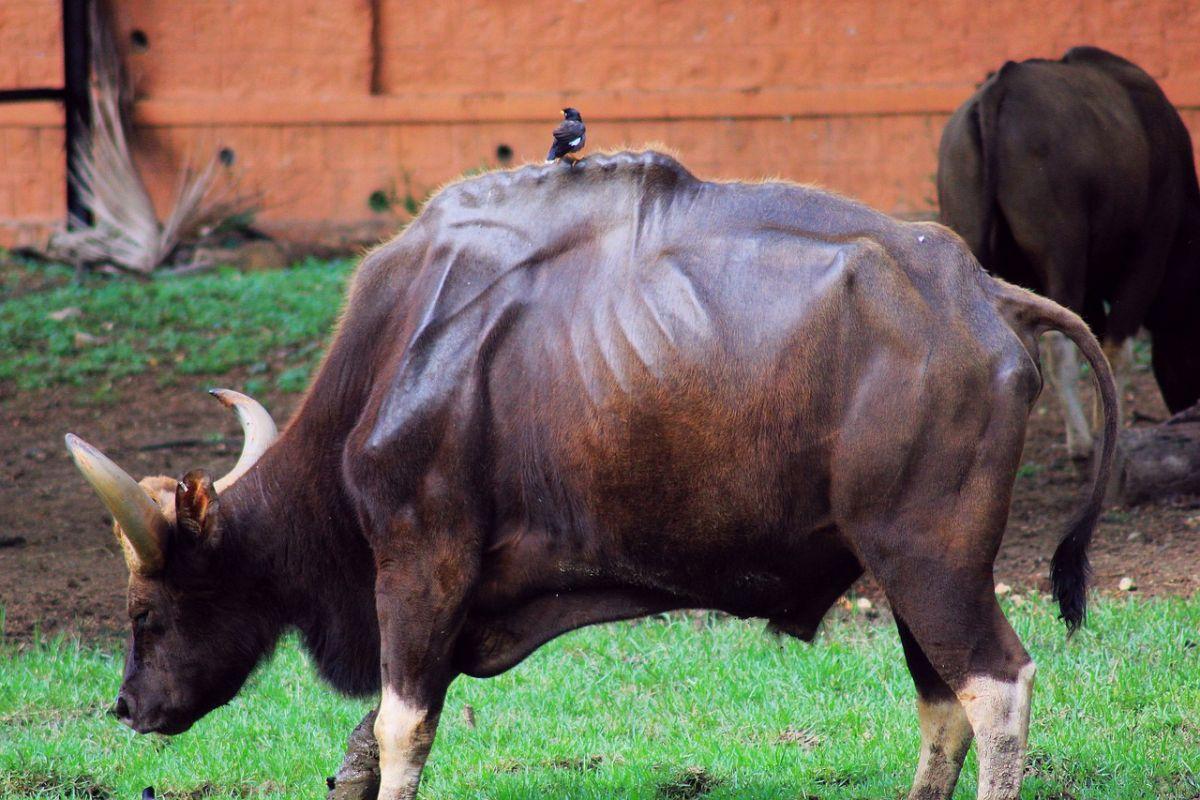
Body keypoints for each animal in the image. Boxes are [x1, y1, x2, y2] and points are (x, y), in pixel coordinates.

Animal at [68, 151, 1113, 800]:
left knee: (996, 686)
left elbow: (402, 728)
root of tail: (980, 291)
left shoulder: (417, 568)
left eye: (145, 613)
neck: (401, 354)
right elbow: (373, 735)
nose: (126, 706)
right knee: (944, 701)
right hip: (904, 571)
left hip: (929, 557)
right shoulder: (458, 608)